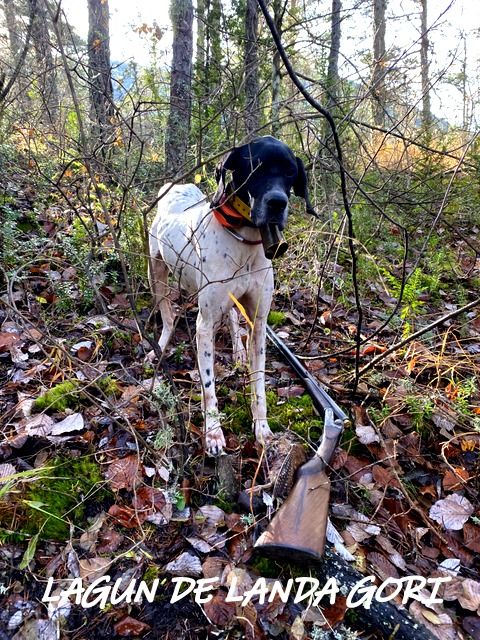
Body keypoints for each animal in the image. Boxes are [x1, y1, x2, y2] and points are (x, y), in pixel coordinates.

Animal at [148, 136, 316, 456]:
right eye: (255, 166)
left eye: (290, 171)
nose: (277, 202)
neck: (245, 241)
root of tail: (175, 187)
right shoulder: (204, 324)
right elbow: (209, 385)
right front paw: (213, 432)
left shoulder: (259, 323)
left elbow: (258, 380)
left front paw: (262, 429)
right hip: (156, 271)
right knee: (167, 314)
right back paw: (160, 345)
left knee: (233, 318)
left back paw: (237, 350)